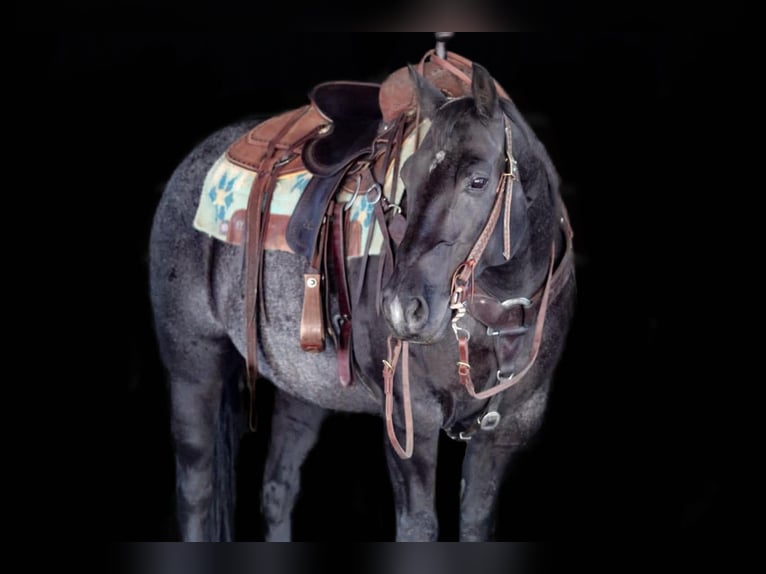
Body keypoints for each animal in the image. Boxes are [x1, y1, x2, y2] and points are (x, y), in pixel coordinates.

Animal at [149, 51, 576, 541]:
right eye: (407, 176)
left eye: (478, 181)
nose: (403, 309)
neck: (500, 315)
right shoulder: (410, 421)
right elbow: (418, 528)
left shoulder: (504, 434)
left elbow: (475, 525)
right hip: (192, 368)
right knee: (197, 490)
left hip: (303, 389)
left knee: (277, 487)